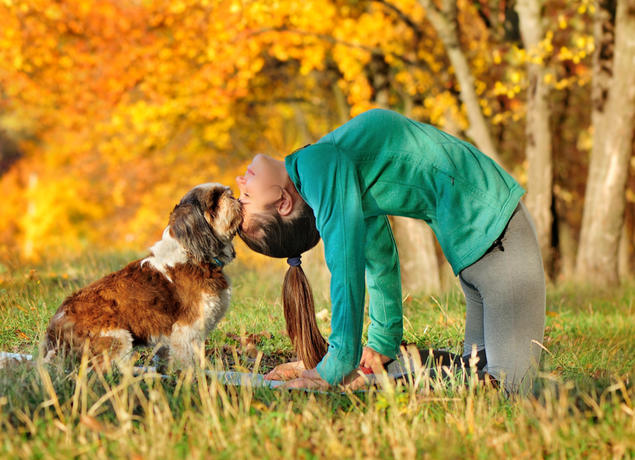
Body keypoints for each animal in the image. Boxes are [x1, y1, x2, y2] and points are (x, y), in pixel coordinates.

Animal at [42, 183, 243, 370]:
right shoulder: (187, 330)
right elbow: (187, 361)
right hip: (117, 338)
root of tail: (55, 330)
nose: (233, 196)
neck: (192, 256)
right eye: (214, 201)